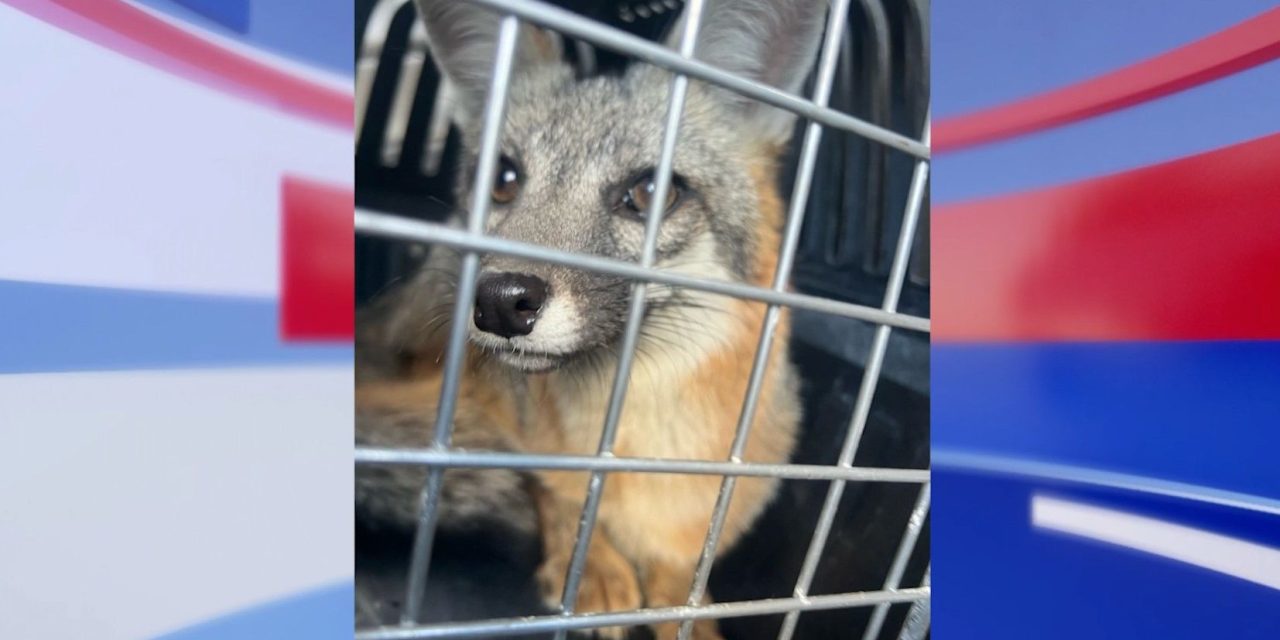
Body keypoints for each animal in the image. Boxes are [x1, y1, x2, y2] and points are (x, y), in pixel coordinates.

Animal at [356, 1, 830, 638]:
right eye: (503, 179)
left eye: (651, 191)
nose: (500, 300)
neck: (630, 446)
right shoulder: (501, 419)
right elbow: (552, 486)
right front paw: (592, 565)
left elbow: (681, 575)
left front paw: (688, 612)